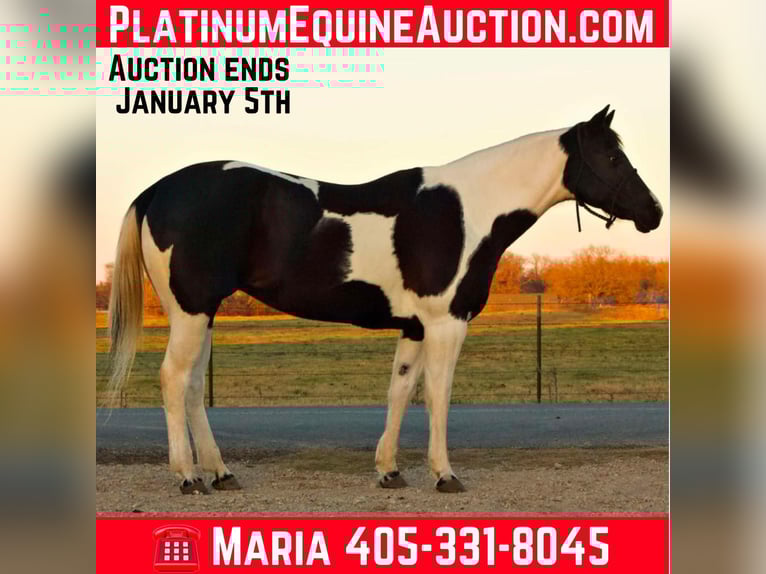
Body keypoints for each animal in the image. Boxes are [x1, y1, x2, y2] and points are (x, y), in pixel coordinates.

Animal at [107, 105, 663, 494]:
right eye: (611, 157)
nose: (653, 213)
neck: (469, 210)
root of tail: (158, 189)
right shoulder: (446, 322)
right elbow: (437, 394)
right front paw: (444, 474)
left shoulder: (415, 325)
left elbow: (401, 390)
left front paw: (390, 471)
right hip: (192, 310)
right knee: (173, 380)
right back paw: (187, 477)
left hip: (201, 312)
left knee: (192, 386)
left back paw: (221, 473)